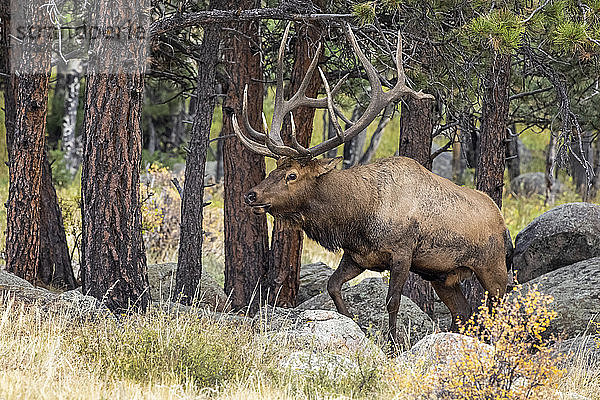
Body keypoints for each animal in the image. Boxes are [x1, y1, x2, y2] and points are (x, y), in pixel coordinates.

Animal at [232, 23, 508, 346]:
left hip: (493, 266)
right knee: (464, 315)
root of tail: (502, 221)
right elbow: (332, 286)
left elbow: (392, 302)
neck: (358, 216)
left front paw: (393, 343)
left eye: (292, 176)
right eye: (276, 168)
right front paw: (355, 325)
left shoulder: (402, 252)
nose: (251, 195)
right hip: (443, 276)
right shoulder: (357, 256)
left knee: (503, 308)